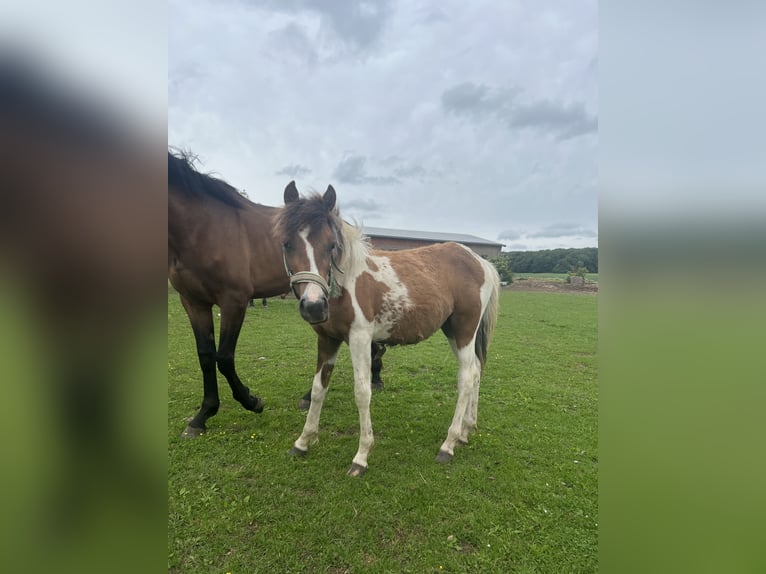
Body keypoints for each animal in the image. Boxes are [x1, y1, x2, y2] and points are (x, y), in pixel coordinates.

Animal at [168, 152, 386, 435]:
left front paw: (252, 401)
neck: (204, 228)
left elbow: (224, 357)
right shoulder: (193, 301)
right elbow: (205, 355)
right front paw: (202, 415)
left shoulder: (233, 301)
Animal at [275, 182, 500, 476]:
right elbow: (317, 389)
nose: (313, 306)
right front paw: (303, 442)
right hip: (453, 331)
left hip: (464, 330)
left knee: (466, 377)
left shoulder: (360, 338)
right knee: (475, 371)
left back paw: (448, 444)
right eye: (287, 244)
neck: (345, 282)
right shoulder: (327, 340)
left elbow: (362, 392)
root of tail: (480, 261)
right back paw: (466, 430)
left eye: (331, 245)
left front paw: (361, 456)